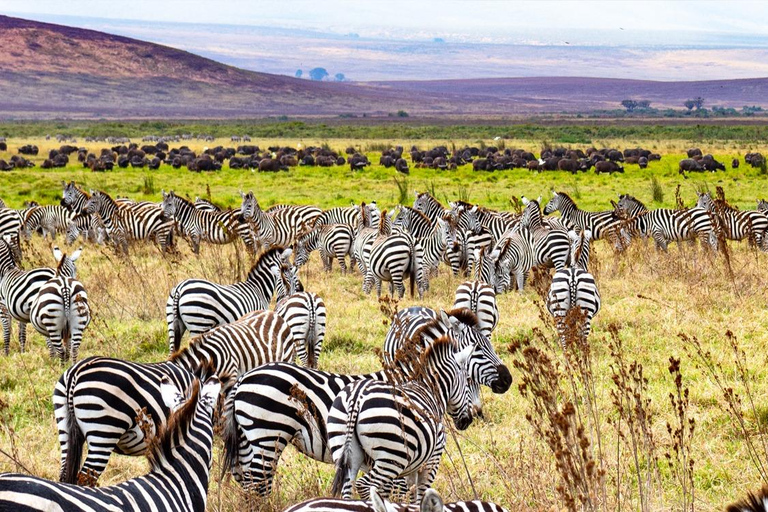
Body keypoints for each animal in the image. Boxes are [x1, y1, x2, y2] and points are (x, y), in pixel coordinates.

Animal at [165, 246, 296, 354]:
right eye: (290, 270)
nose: (292, 295)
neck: (259, 289)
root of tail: (180, 288)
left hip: (173, 325)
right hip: (198, 323)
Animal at [326, 336, 474, 500]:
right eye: (469, 380)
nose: (468, 421)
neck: (431, 391)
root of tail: (357, 396)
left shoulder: (413, 467)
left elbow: (410, 495)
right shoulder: (431, 462)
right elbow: (419, 495)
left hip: (345, 447)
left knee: (348, 488)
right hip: (392, 456)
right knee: (363, 485)